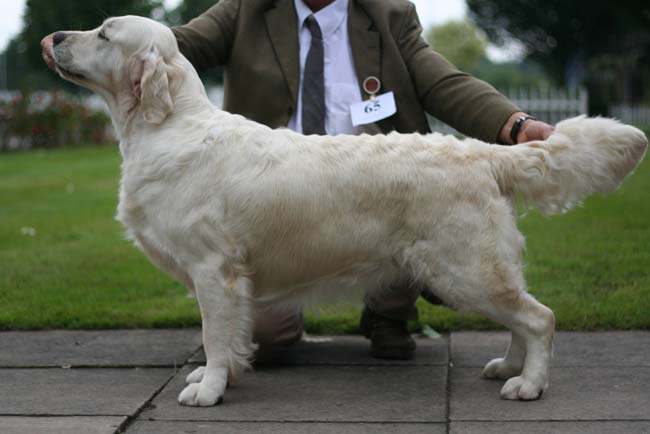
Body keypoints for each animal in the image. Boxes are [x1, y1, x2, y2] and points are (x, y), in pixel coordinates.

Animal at [43, 15, 644, 406]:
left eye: (104, 33)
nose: (52, 37)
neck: (170, 126)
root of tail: (483, 152)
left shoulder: (214, 269)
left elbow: (215, 337)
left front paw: (209, 390)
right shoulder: (226, 279)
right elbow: (231, 338)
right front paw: (222, 379)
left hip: (464, 270)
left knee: (539, 317)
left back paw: (530, 385)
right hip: (478, 269)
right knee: (522, 314)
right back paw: (509, 367)